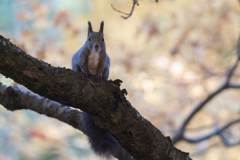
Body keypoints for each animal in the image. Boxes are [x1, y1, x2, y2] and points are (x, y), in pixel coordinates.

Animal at [71, 21, 118, 159]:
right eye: (89, 39)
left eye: (103, 39)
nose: (96, 47)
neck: (95, 54)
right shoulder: (81, 57)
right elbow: (83, 65)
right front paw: (86, 73)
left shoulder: (103, 60)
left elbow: (100, 69)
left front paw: (97, 76)